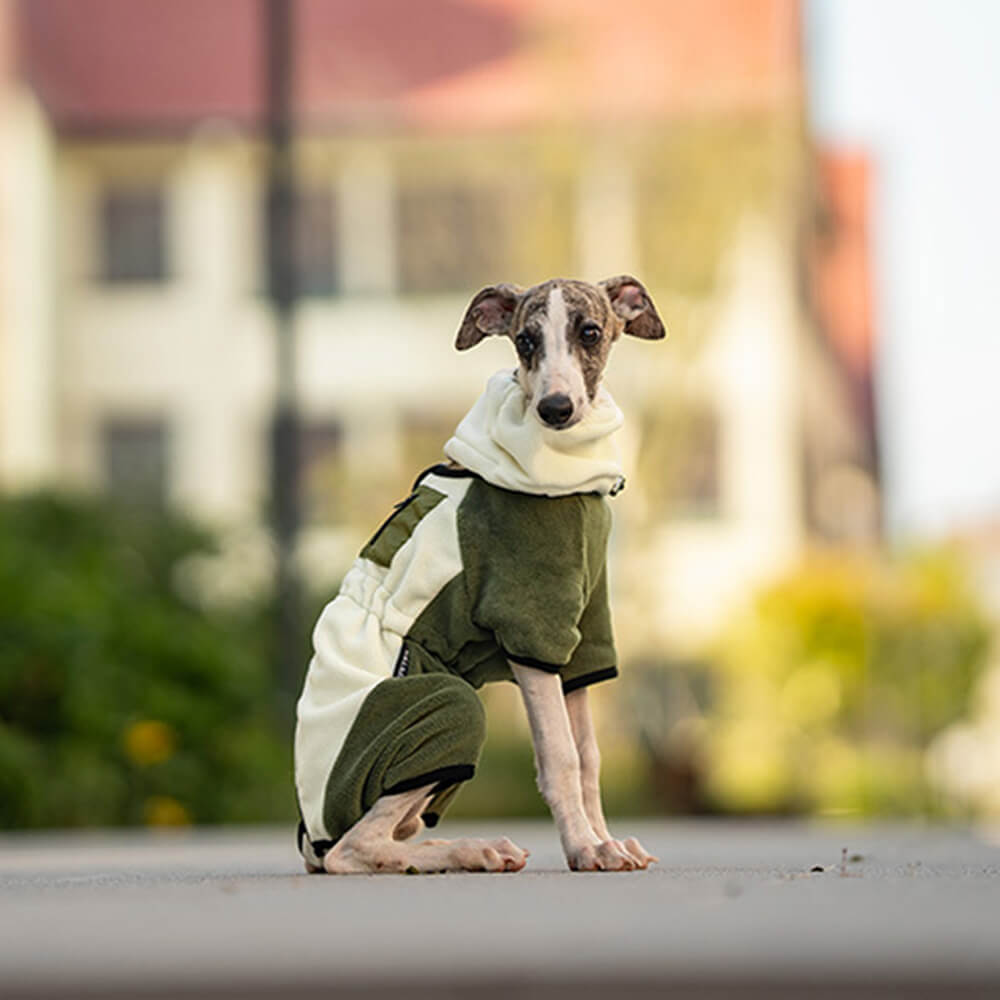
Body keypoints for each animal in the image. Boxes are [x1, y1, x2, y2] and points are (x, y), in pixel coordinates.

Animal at [294, 276, 664, 876]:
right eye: (525, 340)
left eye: (589, 332)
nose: (555, 409)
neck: (561, 475)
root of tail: (308, 834)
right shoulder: (530, 626)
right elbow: (560, 756)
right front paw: (584, 848)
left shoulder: (585, 632)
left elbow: (588, 756)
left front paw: (607, 843)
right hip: (447, 705)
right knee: (352, 849)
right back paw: (472, 849)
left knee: (389, 836)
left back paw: (472, 850)